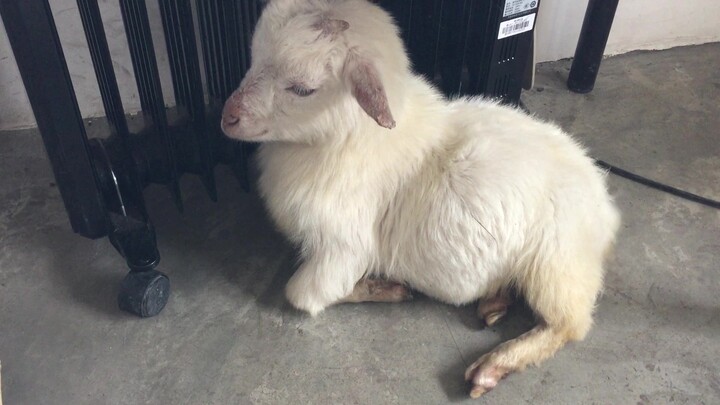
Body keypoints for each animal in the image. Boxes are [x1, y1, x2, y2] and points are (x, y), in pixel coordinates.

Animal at [221, 0, 620, 398]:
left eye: (303, 89)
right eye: (254, 56)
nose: (228, 118)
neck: (353, 141)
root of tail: (606, 213)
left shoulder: (342, 249)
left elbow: (302, 294)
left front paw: (384, 288)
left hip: (555, 268)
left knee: (569, 325)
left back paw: (494, 366)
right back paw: (495, 301)